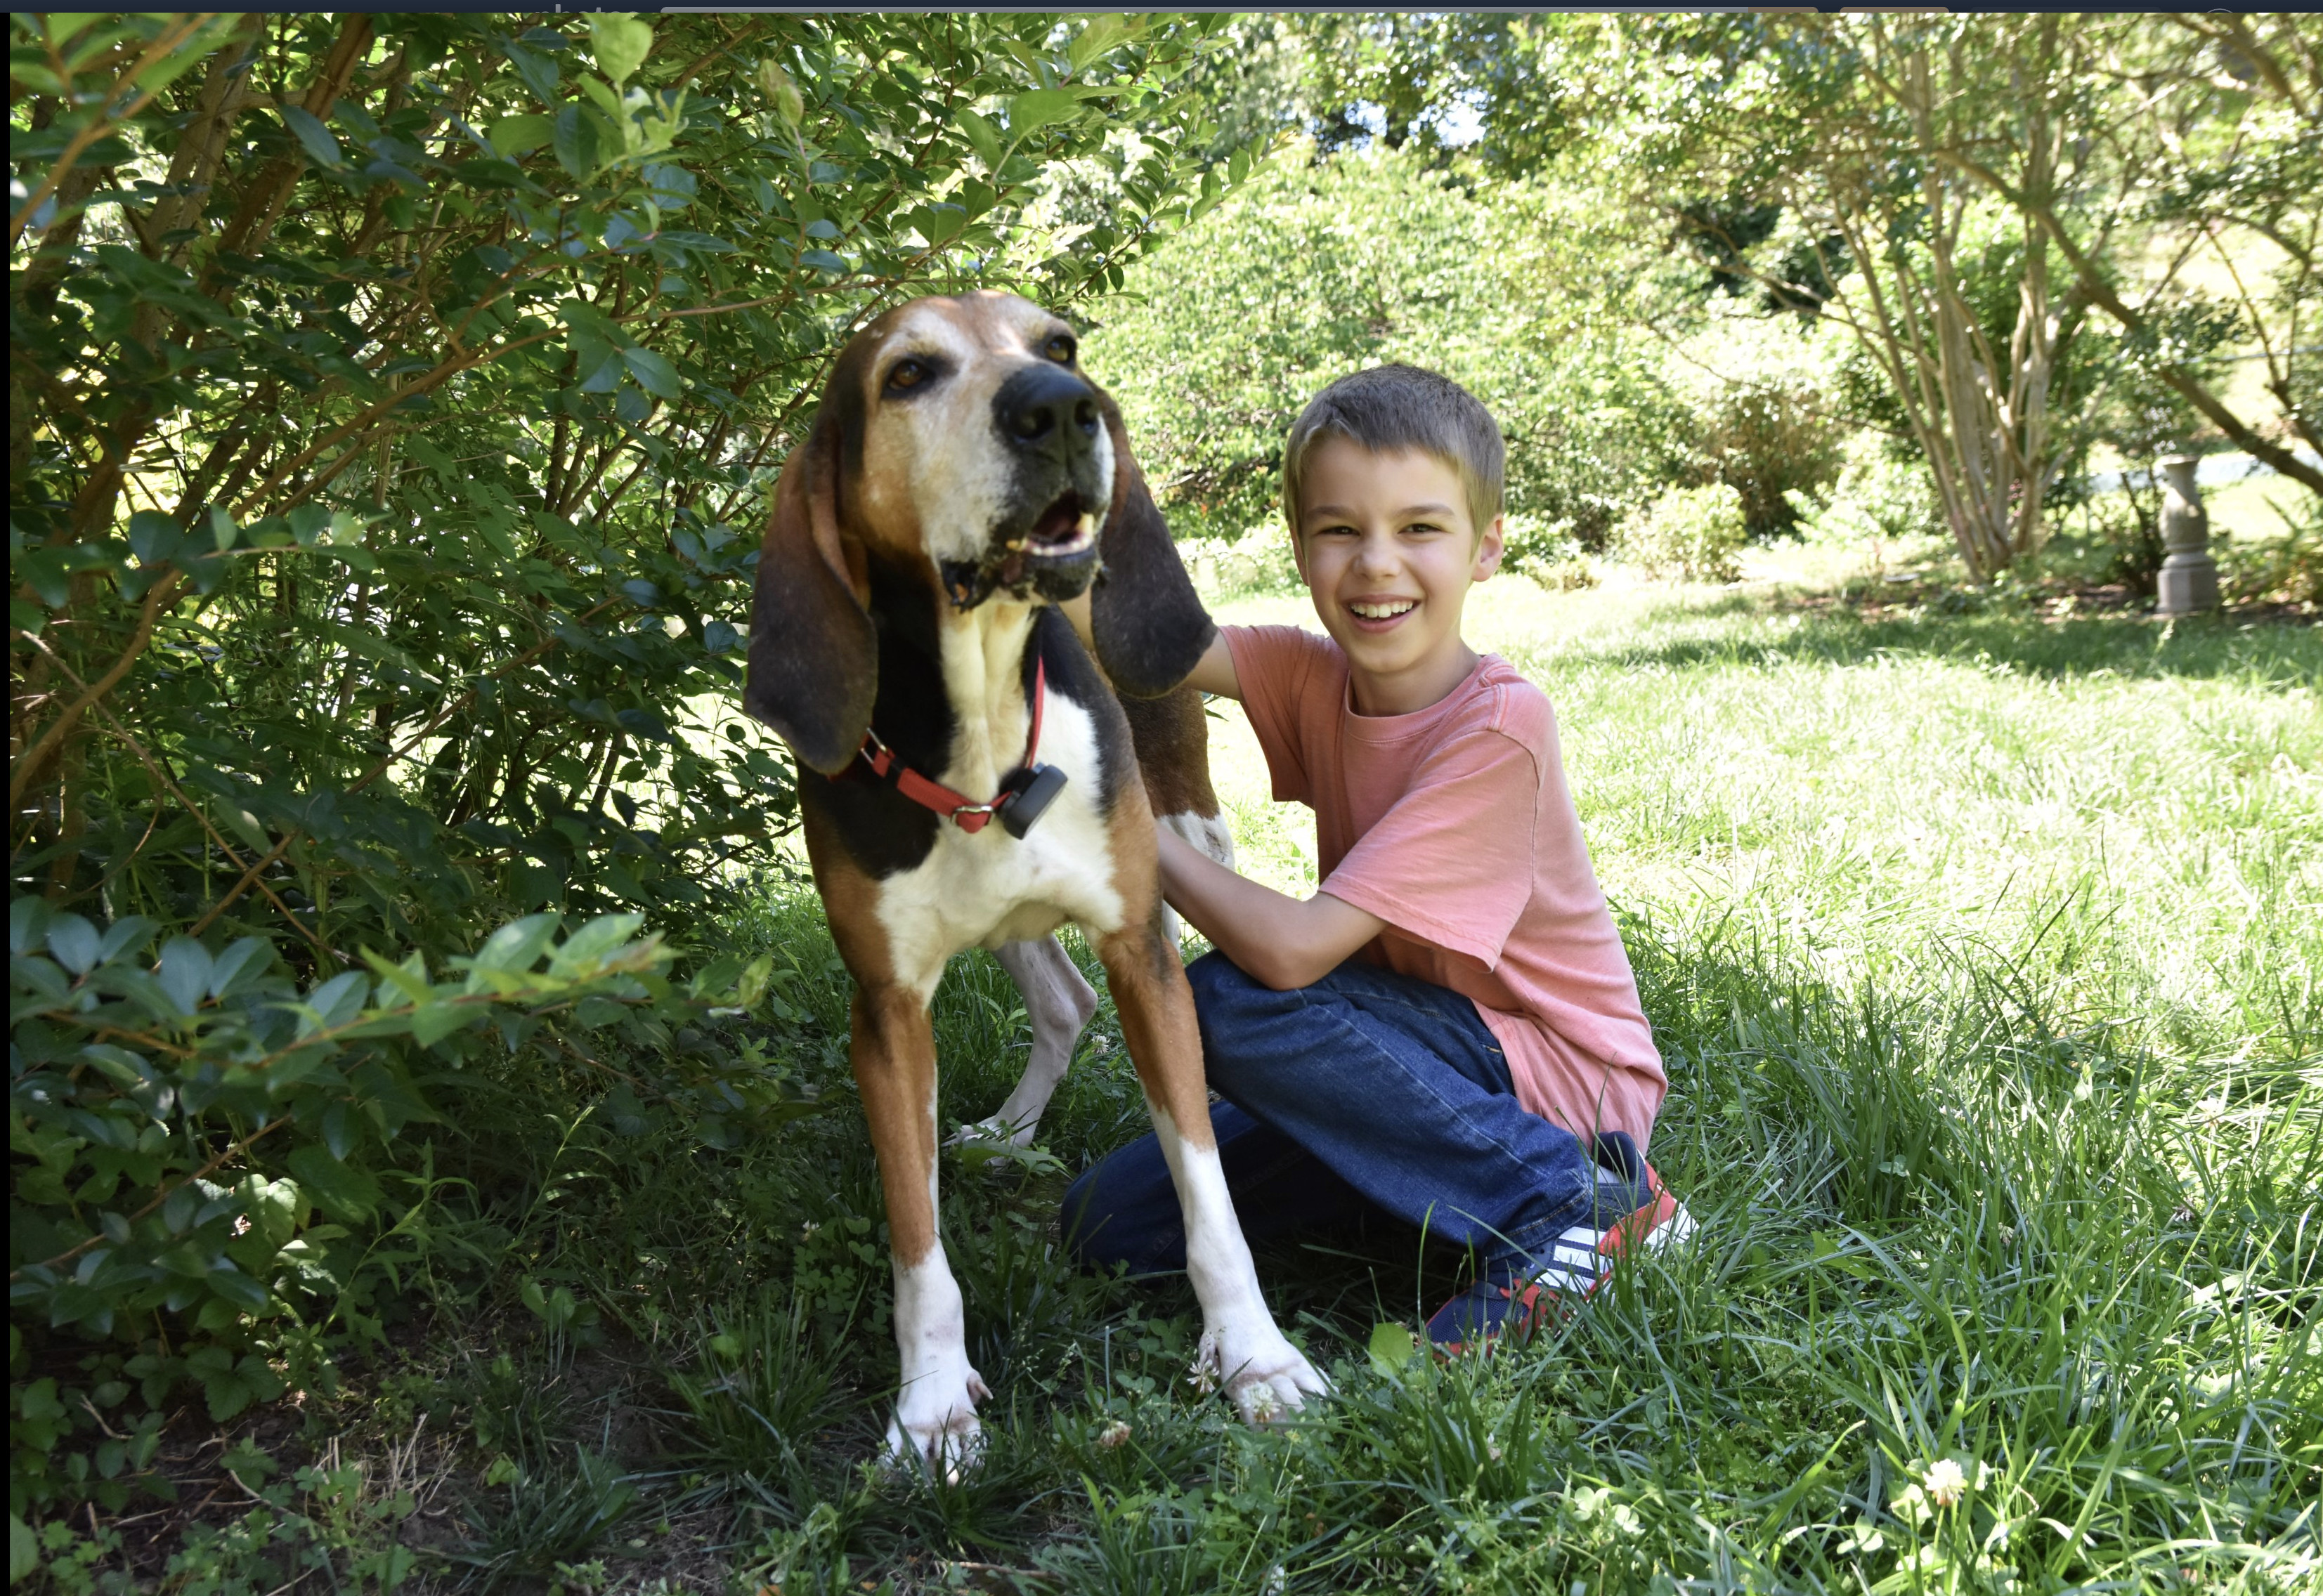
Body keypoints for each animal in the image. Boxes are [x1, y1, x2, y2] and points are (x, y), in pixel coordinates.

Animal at [743, 290, 1329, 1477]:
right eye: (908, 374)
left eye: (1058, 343)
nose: (1059, 406)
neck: (981, 723)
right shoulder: (885, 1009)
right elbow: (916, 1243)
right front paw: (932, 1408)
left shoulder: (1141, 948)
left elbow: (1207, 1194)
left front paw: (1254, 1360)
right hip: (1003, 922)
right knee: (1058, 1002)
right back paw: (1010, 1134)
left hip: (1186, 825)